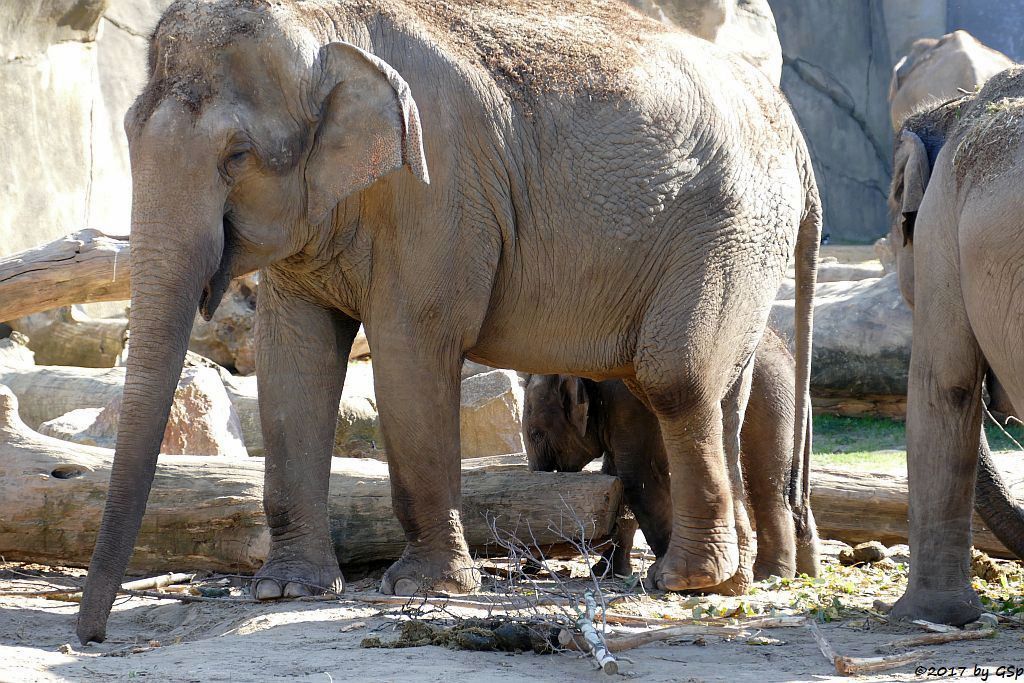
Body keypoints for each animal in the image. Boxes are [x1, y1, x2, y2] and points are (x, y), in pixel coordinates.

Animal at [524, 327, 819, 585]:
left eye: (537, 434)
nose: (527, 570)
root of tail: (791, 361)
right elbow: (617, 479)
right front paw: (608, 572)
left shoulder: (627, 406)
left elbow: (636, 478)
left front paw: (666, 573)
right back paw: (806, 572)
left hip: (772, 406)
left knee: (767, 489)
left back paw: (770, 576)